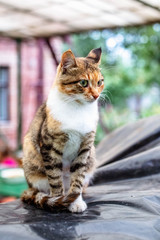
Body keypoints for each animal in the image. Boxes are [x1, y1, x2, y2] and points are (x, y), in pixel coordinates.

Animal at [21, 47, 104, 212]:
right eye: (83, 82)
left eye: (99, 82)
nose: (97, 95)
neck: (78, 109)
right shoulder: (49, 147)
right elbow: (54, 178)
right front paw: (56, 201)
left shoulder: (85, 148)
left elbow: (78, 177)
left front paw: (76, 201)